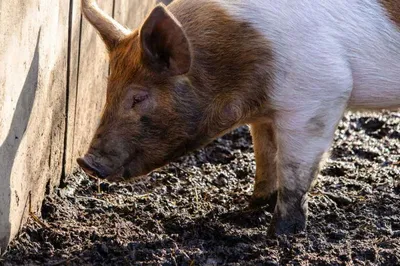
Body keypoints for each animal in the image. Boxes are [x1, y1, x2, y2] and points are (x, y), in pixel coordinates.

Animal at [76, 0, 398, 236]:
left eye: (139, 98)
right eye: (108, 90)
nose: (86, 162)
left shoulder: (320, 94)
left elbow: (294, 170)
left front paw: (278, 235)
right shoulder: (265, 116)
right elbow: (265, 157)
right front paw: (247, 210)